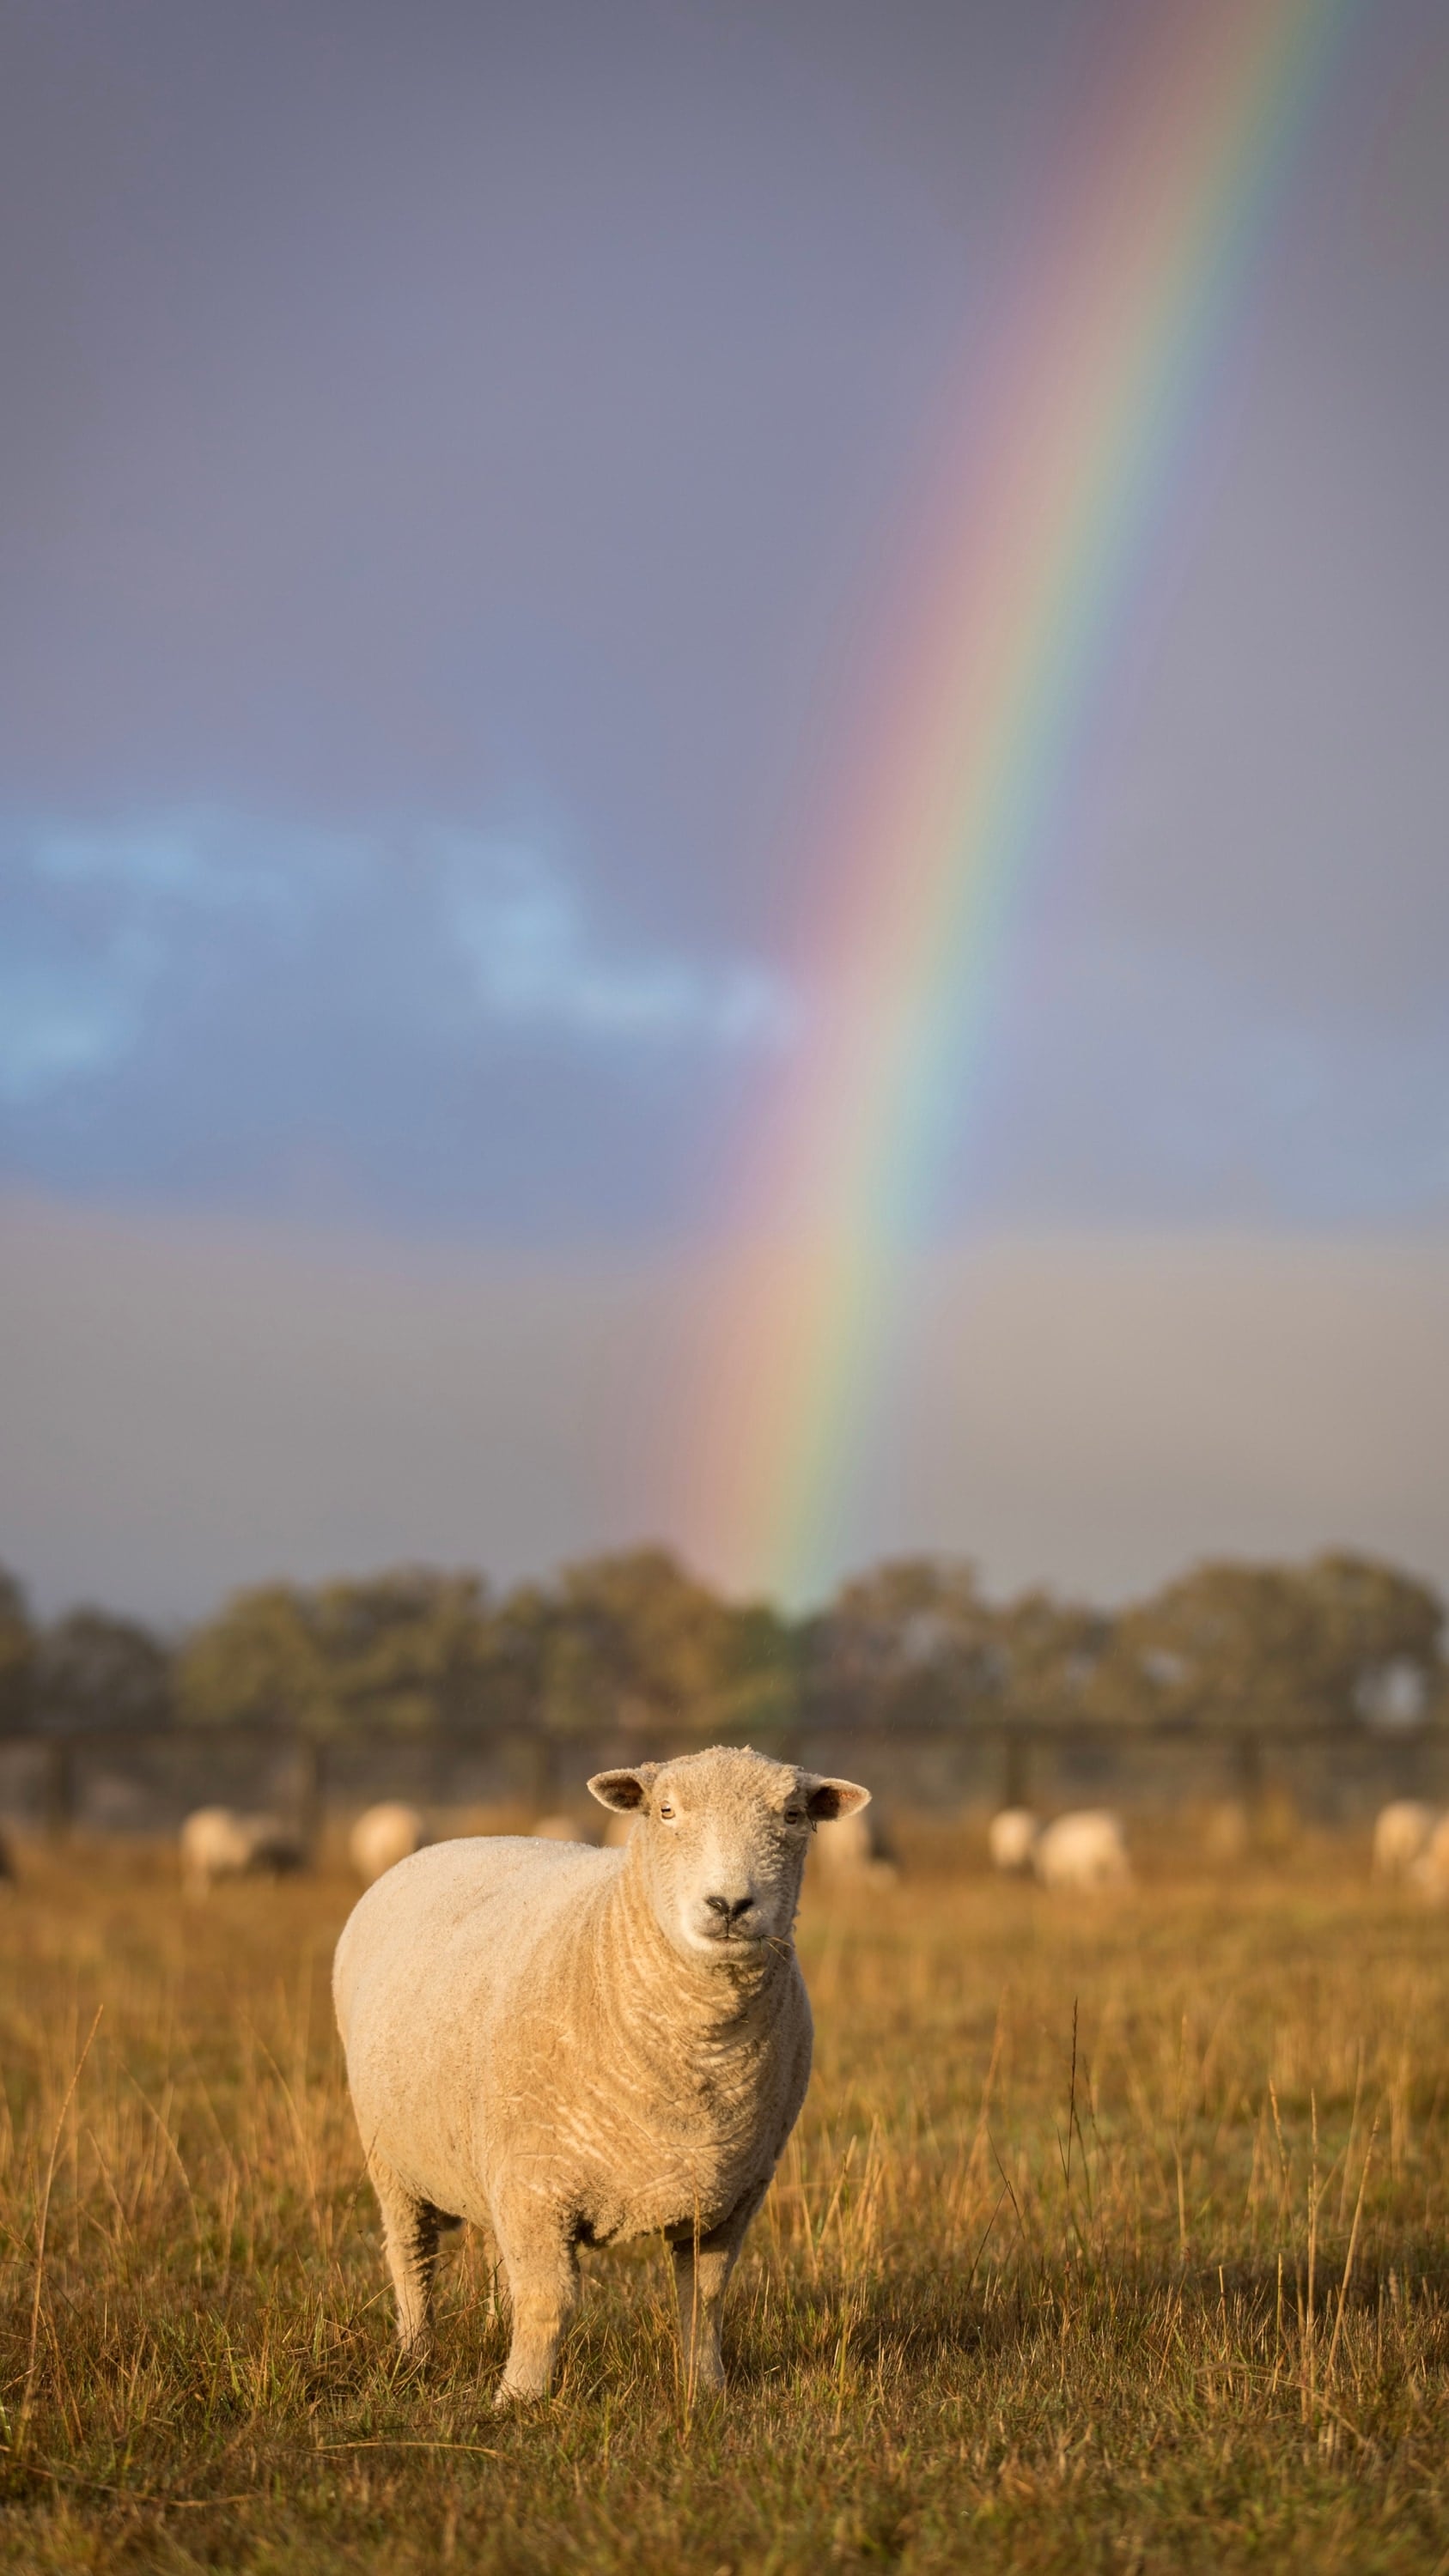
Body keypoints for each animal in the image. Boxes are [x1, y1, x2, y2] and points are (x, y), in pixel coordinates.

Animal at [333, 1743, 869, 2404]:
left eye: (792, 1816)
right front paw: (519, 2398)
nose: (729, 1906)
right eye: (665, 1811)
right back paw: (414, 2353)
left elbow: (705, 2300)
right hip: (391, 2157)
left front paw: (706, 2388)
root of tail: (447, 1842)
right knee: (413, 2255)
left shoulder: (733, 2193)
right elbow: (547, 2302)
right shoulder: (537, 2182)